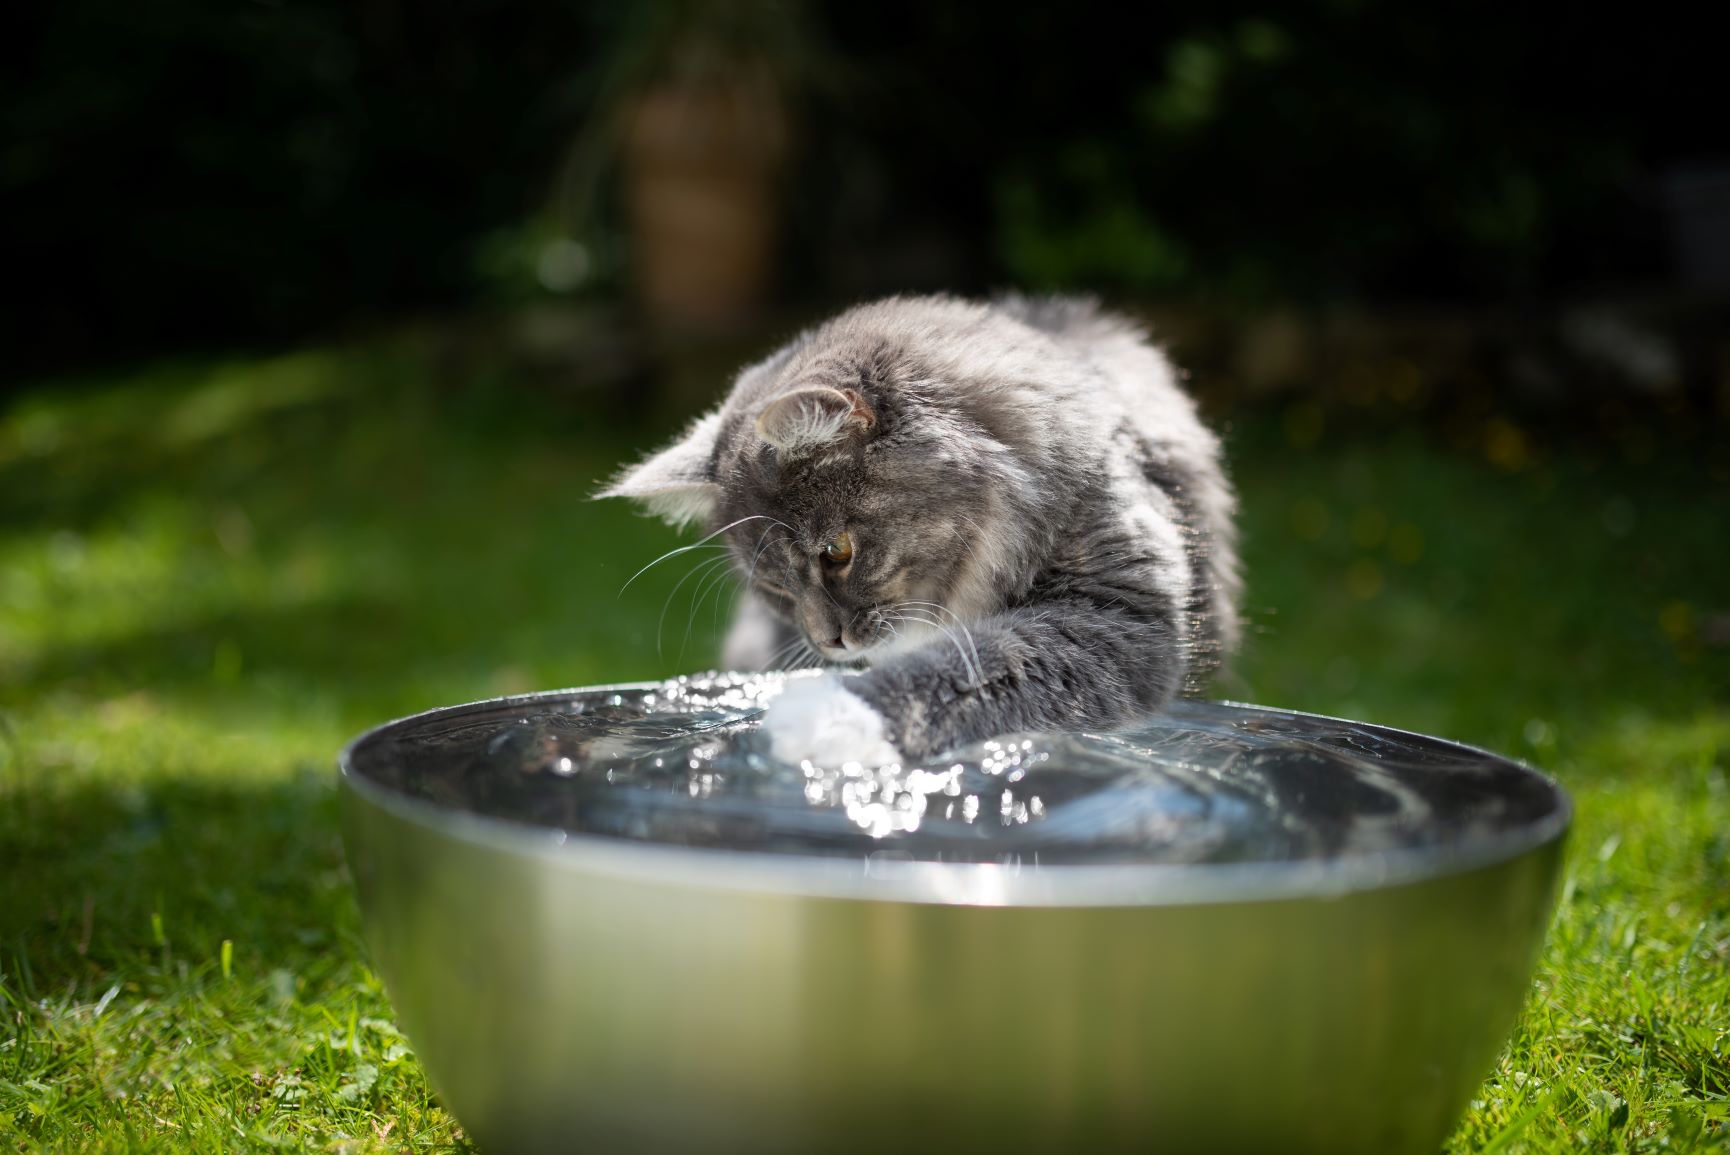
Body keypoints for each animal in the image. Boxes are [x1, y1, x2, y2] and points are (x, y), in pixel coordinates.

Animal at [602, 297, 1238, 767]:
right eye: (776, 589)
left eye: (837, 552)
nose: (826, 644)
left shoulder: (1119, 614)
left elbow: (972, 666)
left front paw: (829, 720)